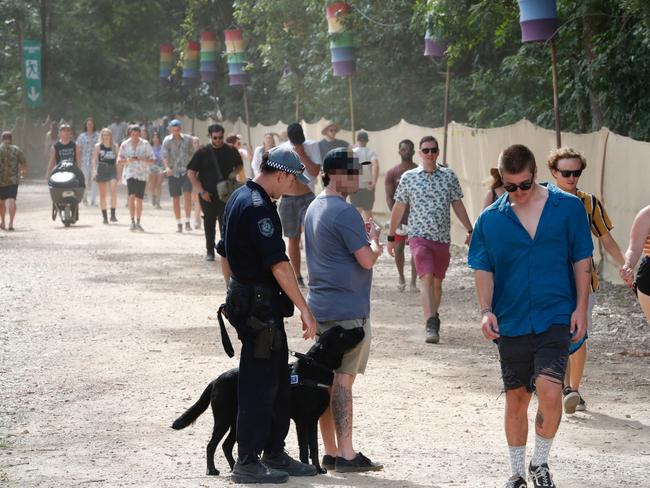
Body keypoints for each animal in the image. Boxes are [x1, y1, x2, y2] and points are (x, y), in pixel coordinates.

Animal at [172, 326, 362, 474]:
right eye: (342, 334)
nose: (361, 328)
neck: (316, 368)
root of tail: (217, 379)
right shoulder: (302, 421)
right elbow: (304, 447)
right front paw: (307, 468)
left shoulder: (312, 420)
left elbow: (314, 447)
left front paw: (318, 468)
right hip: (223, 420)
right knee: (211, 445)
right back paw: (211, 470)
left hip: (238, 420)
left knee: (226, 445)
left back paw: (234, 468)